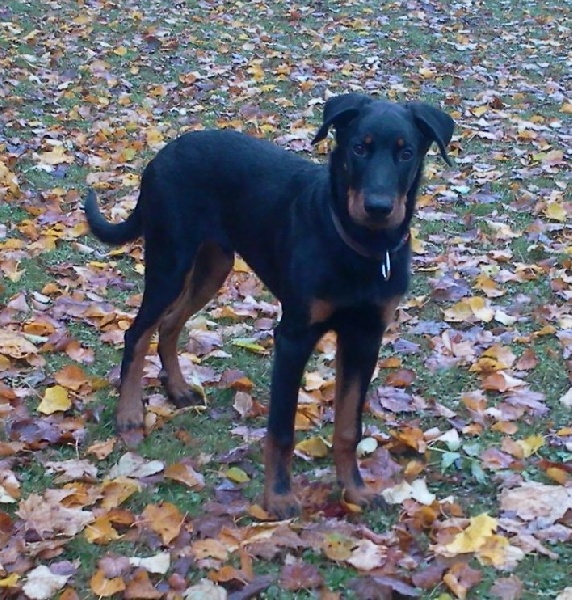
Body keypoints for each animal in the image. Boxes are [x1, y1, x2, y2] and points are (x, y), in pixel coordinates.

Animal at [85, 92, 454, 516]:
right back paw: (130, 416)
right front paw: (277, 497)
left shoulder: (366, 336)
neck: (359, 247)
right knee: (137, 332)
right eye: (359, 148)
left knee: (170, 323)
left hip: (213, 265)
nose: (378, 207)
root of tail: (163, 154)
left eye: (406, 152)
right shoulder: (293, 336)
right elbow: (281, 429)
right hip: (170, 261)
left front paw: (355, 490)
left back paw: (177, 389)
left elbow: (348, 426)